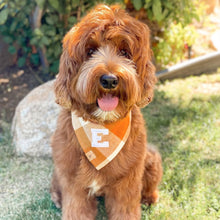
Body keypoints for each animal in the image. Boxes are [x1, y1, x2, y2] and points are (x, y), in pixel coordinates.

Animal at [50, 3, 162, 220]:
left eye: (125, 52)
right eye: (90, 51)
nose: (109, 80)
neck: (101, 127)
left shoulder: (127, 183)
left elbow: (124, 210)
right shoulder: (73, 183)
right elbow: (76, 209)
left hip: (151, 159)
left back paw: (149, 198)